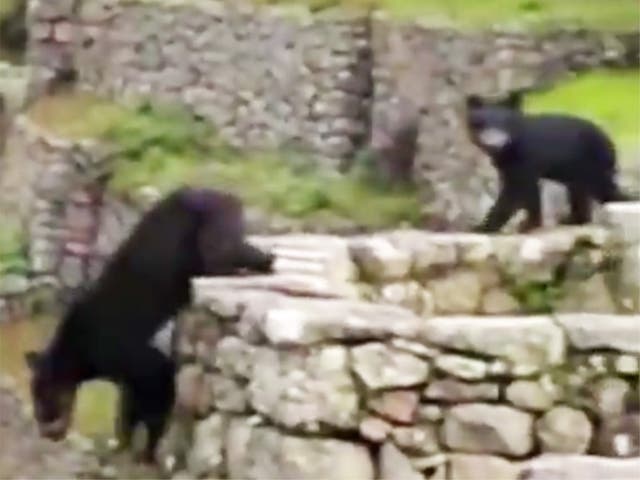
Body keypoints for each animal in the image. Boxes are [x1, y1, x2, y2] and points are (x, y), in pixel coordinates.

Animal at [23, 187, 274, 462]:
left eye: (46, 403)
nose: (48, 434)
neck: (81, 353)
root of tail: (225, 193)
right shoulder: (123, 373)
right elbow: (126, 405)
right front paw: (121, 443)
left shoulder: (130, 354)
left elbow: (153, 395)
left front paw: (146, 451)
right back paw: (266, 261)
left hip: (208, 227)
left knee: (221, 254)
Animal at [464, 91, 632, 233]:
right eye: (483, 122)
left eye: (505, 122)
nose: (496, 143)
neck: (508, 150)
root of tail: (610, 143)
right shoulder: (505, 165)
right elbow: (522, 189)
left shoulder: (526, 157)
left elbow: (517, 190)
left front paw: (485, 227)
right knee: (579, 192)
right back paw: (572, 219)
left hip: (592, 163)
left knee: (603, 191)